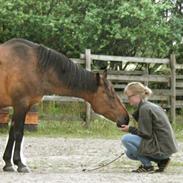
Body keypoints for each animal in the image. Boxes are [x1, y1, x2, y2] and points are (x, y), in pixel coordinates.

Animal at [0, 38, 129, 172]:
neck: (34, 66)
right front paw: (20, 164)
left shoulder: (19, 107)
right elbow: (18, 133)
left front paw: (8, 163)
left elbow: (12, 133)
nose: (126, 117)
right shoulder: (21, 105)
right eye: (111, 95)